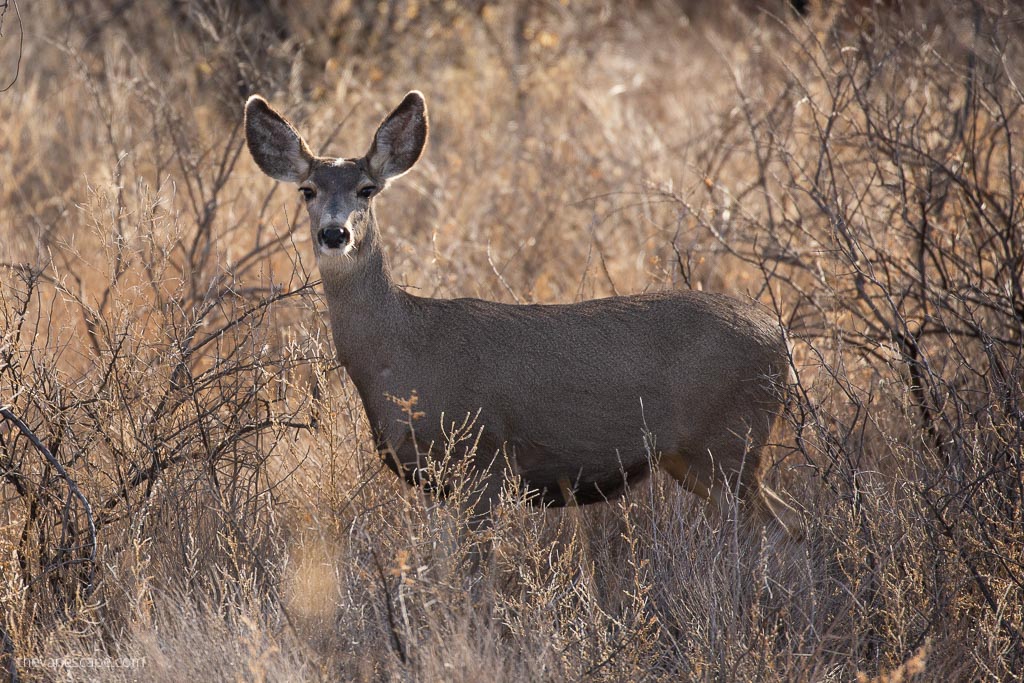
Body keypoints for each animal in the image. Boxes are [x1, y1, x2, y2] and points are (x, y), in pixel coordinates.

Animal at [244, 90, 803, 539]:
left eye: (367, 189)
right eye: (308, 190)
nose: (334, 233)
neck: (400, 356)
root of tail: (780, 336)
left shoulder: (484, 462)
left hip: (729, 439)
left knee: (777, 526)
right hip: (697, 457)